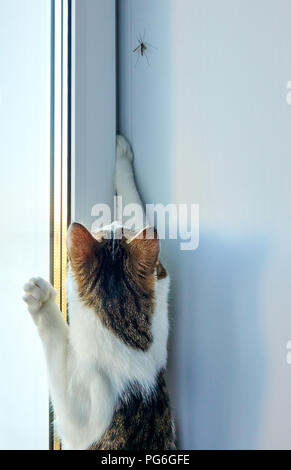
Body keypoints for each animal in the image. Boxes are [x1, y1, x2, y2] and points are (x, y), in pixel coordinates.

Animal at [22, 134, 176, 450]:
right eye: (116, 231)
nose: (114, 222)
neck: (125, 337)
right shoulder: (162, 295)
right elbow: (138, 209)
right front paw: (121, 156)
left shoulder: (79, 417)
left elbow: (57, 346)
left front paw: (41, 298)